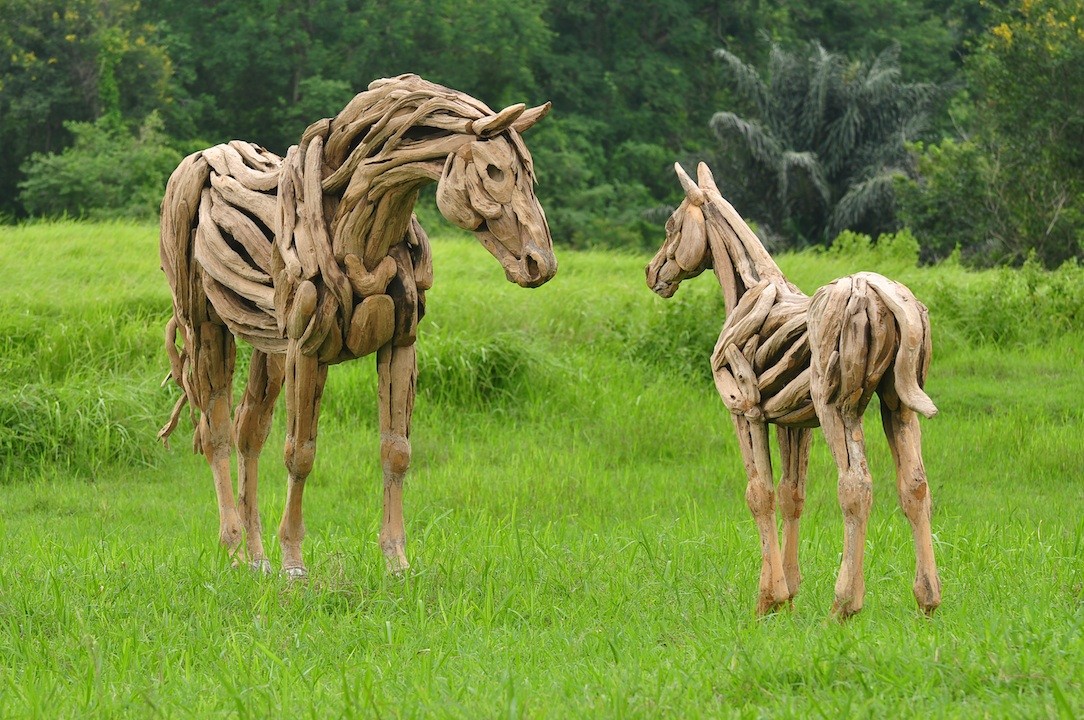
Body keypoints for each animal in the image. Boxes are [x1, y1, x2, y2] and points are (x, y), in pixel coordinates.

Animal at [158, 75, 559, 576]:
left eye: (529, 173)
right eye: (493, 170)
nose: (539, 264)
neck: (357, 235)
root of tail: (206, 157)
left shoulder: (400, 345)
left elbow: (396, 451)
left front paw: (396, 562)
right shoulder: (308, 351)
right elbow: (300, 454)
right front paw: (294, 565)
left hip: (268, 346)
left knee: (249, 430)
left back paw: (257, 561)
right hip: (207, 327)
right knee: (216, 434)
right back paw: (234, 553)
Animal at [641, 164, 940, 620]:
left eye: (671, 225)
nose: (653, 274)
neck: (748, 294)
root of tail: (884, 297)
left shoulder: (746, 413)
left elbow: (759, 494)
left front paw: (769, 599)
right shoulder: (793, 423)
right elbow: (791, 495)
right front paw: (791, 594)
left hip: (839, 408)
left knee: (856, 486)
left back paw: (844, 605)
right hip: (898, 406)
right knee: (915, 486)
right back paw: (927, 600)